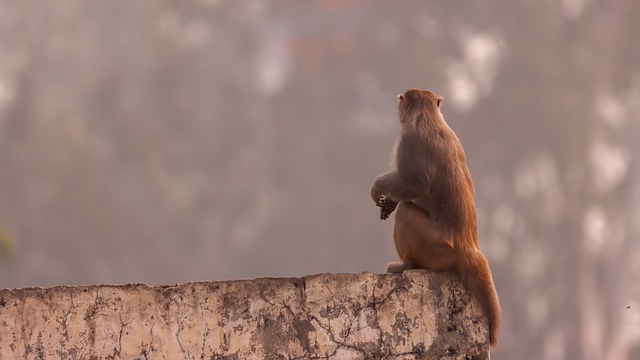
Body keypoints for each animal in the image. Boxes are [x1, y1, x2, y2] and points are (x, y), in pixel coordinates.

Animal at [372, 88, 502, 350]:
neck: (429, 116)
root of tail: (468, 248)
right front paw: (389, 202)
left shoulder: (410, 141)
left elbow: (413, 184)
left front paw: (379, 187)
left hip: (435, 248)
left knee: (407, 212)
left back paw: (407, 265)